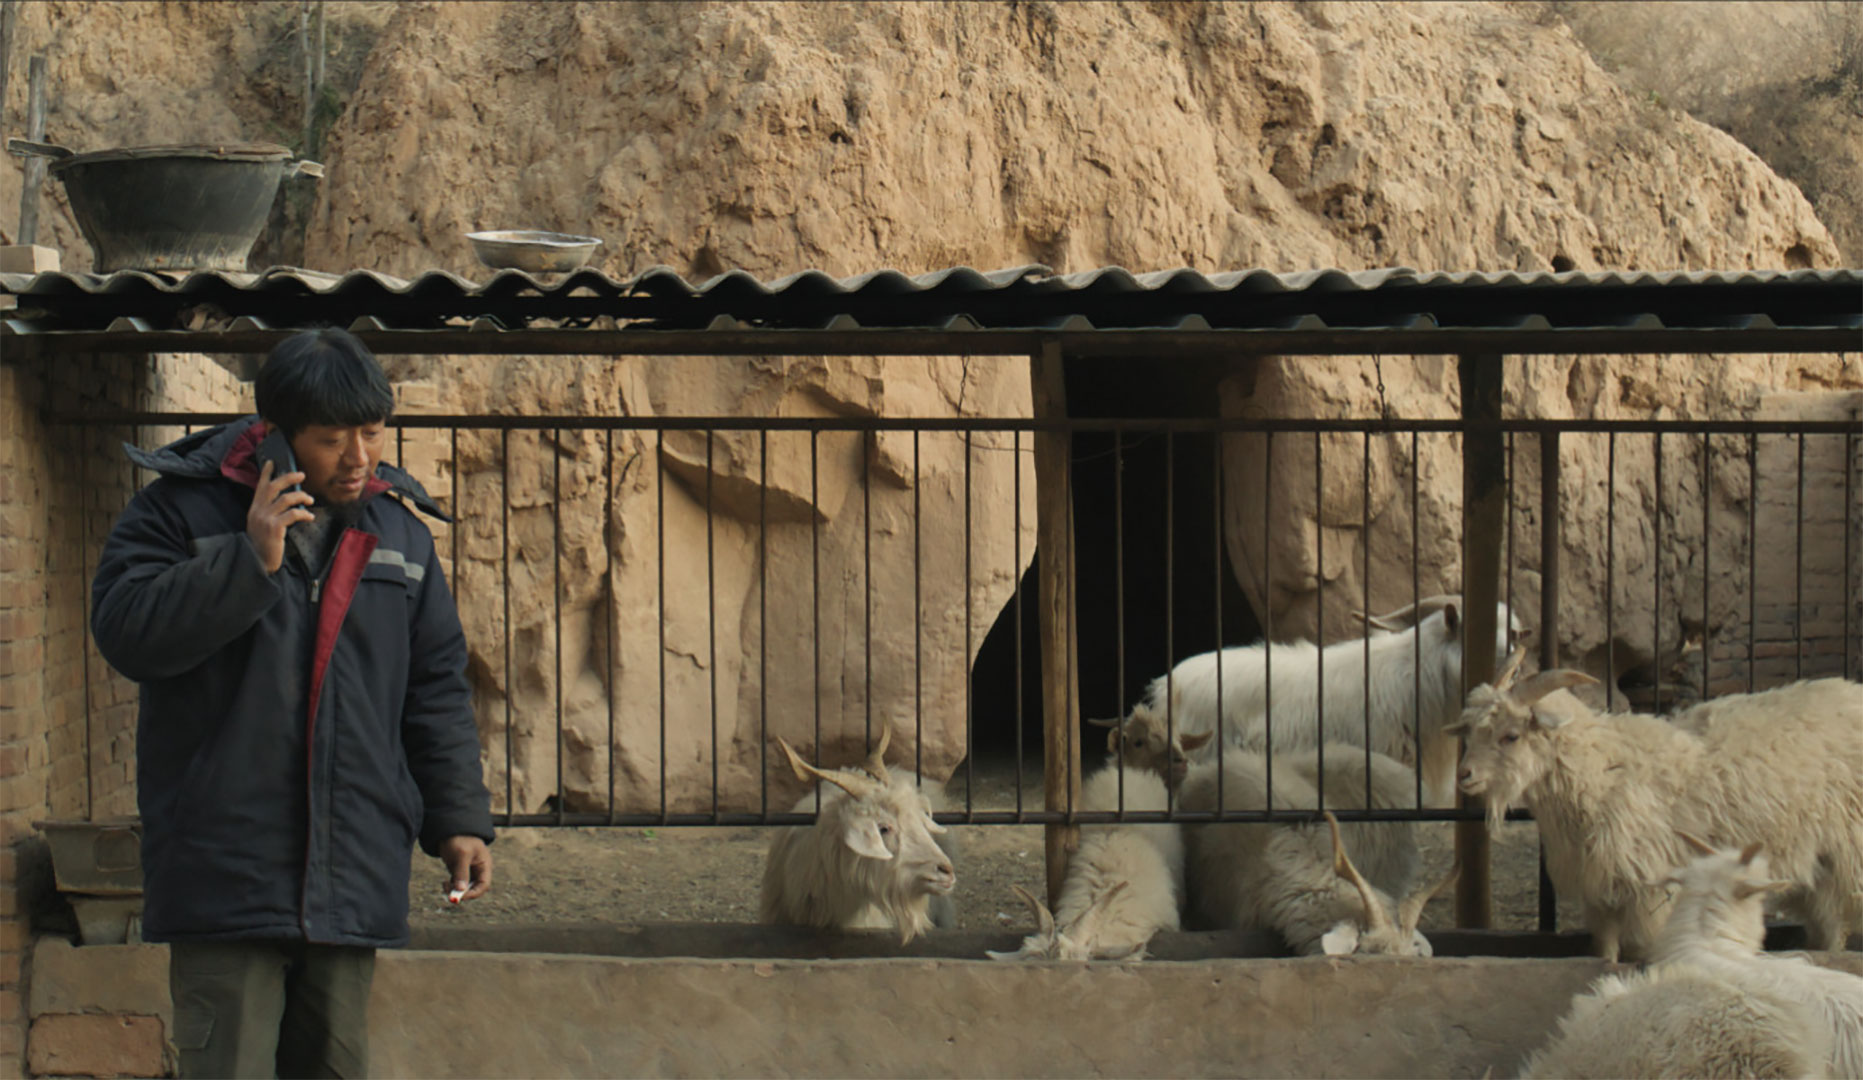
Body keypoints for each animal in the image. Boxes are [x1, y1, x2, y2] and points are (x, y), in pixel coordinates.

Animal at [1452, 652, 1863, 961]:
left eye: (1511, 736)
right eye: (1470, 731)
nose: (1464, 775)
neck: (1604, 771)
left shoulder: (1648, 887)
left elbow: (1641, 952)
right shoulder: (1599, 894)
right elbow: (1605, 954)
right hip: (1820, 862)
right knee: (1826, 923)